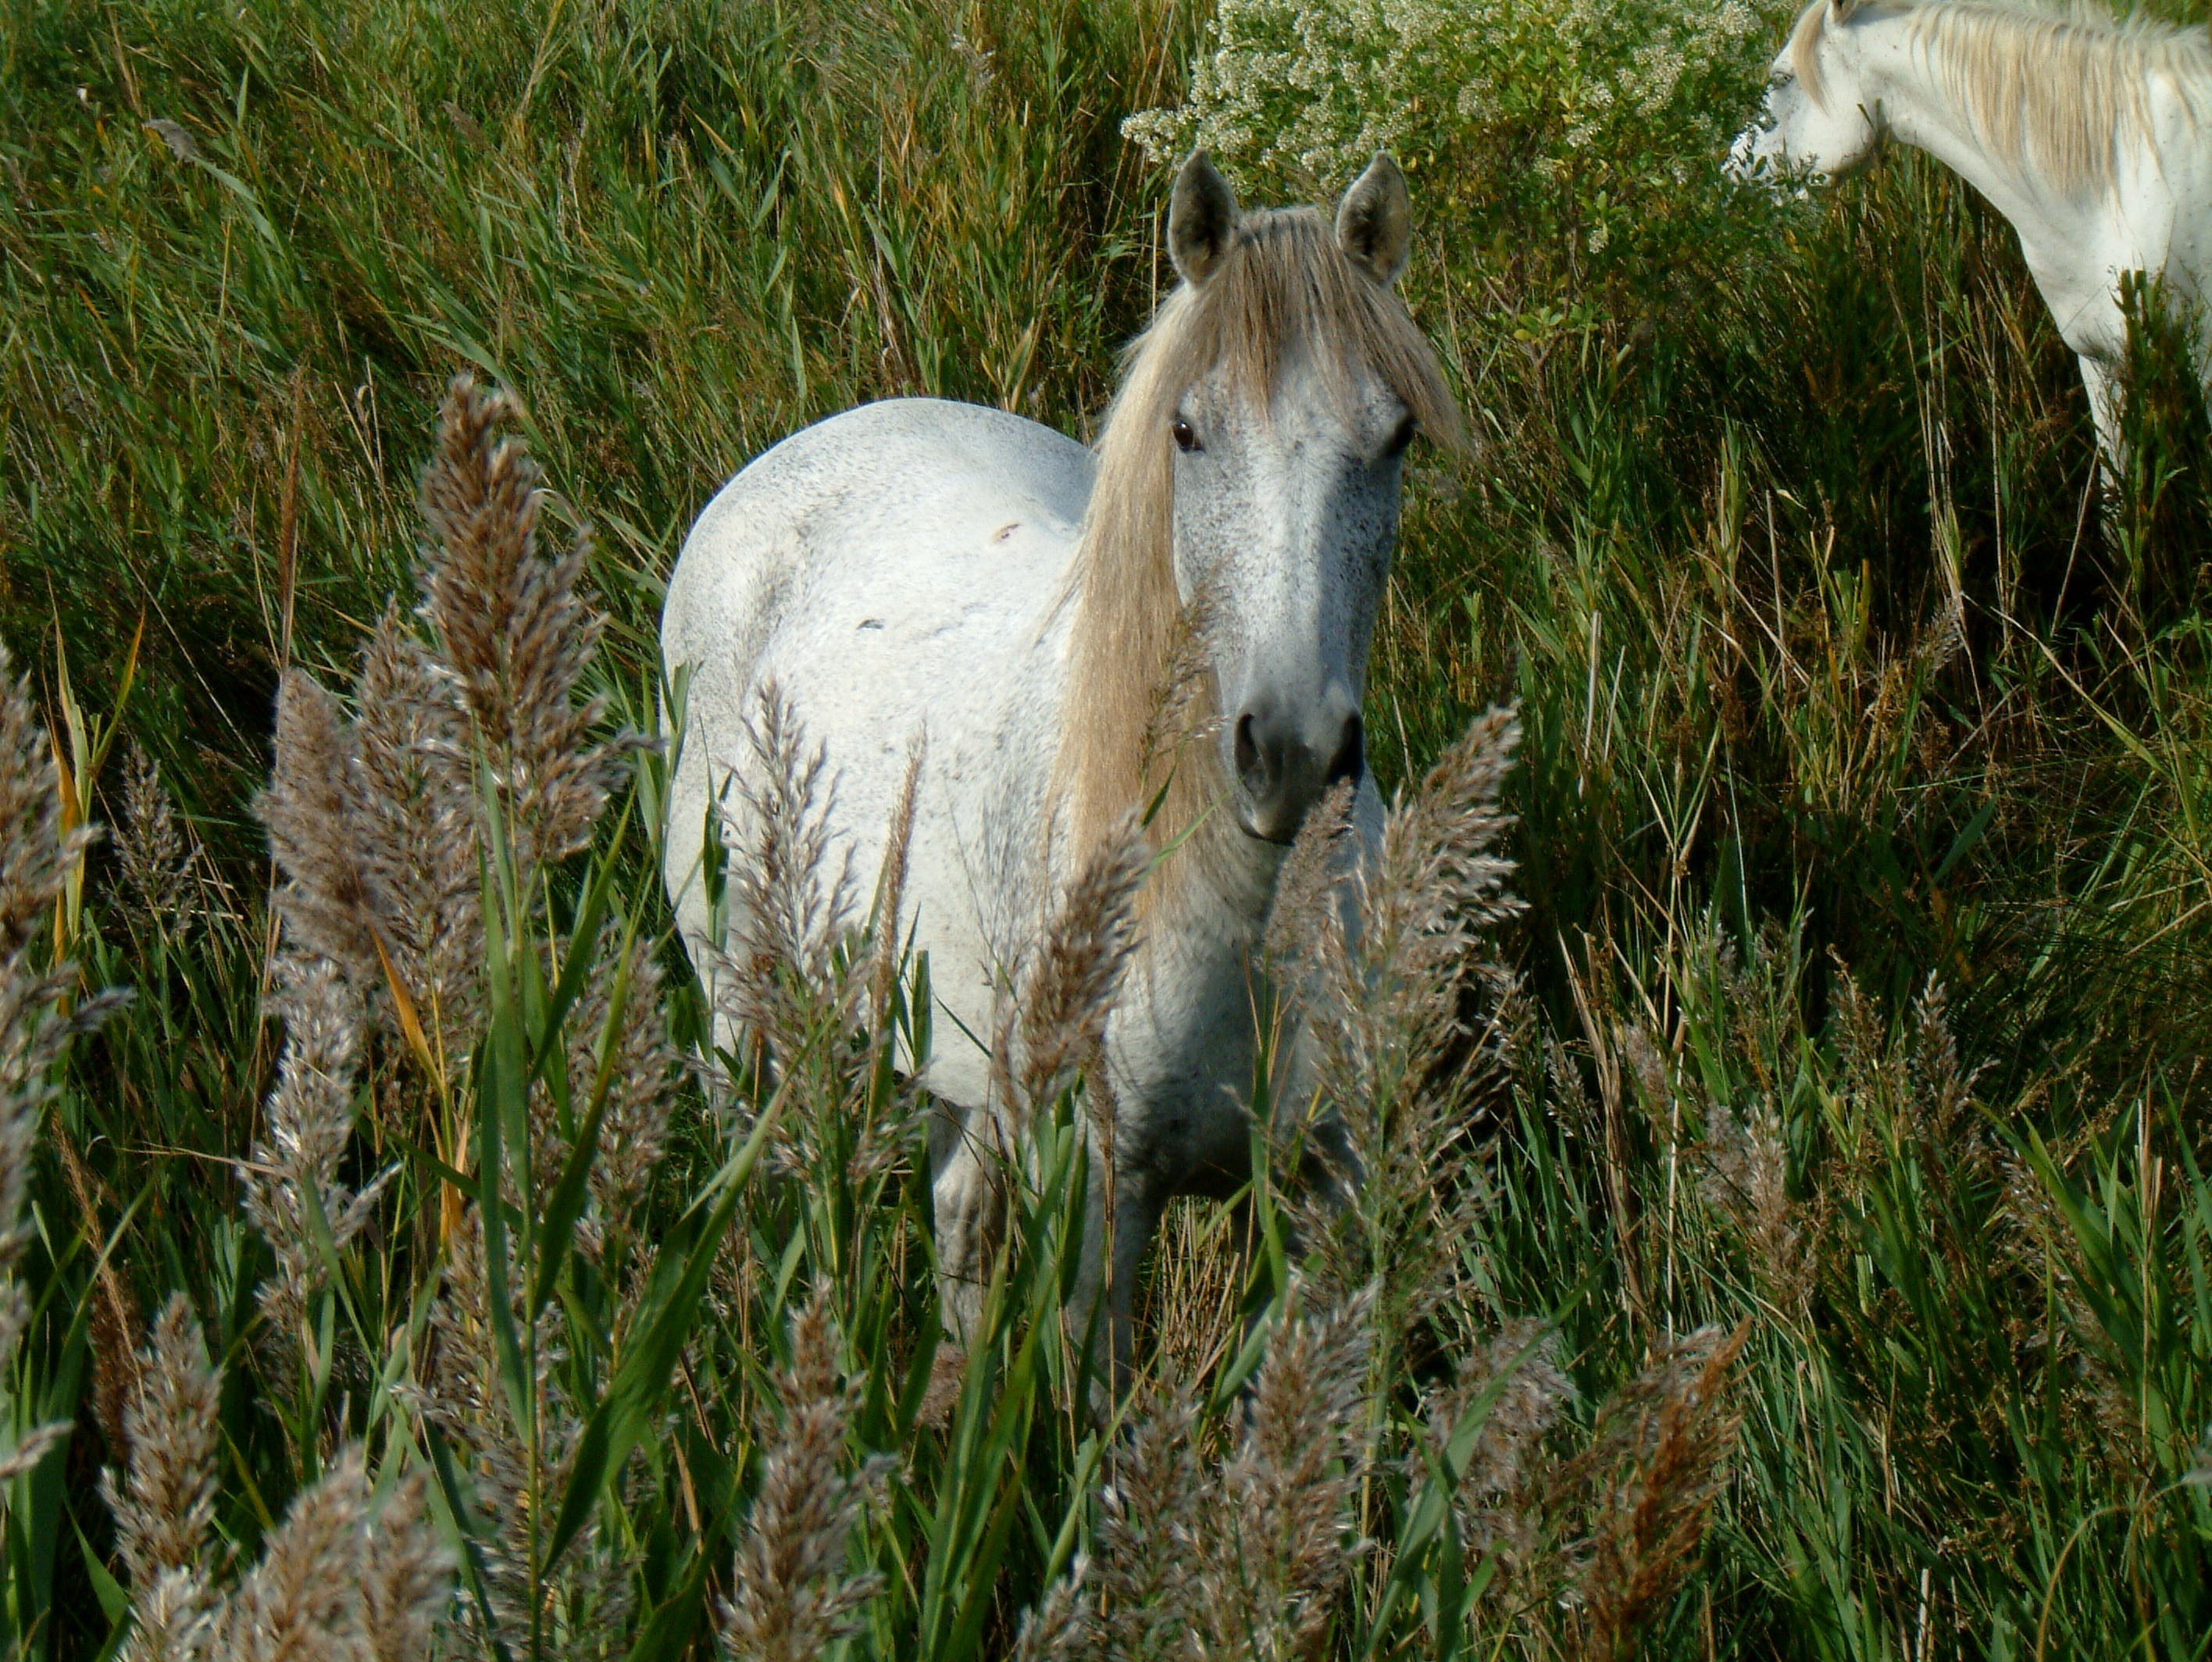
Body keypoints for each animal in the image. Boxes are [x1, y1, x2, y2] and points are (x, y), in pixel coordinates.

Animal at [658, 152, 1450, 1381]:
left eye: (1397, 434)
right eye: (1188, 431)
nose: (1290, 755)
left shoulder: (1331, 1187)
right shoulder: (1099, 1202)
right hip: (742, 997)